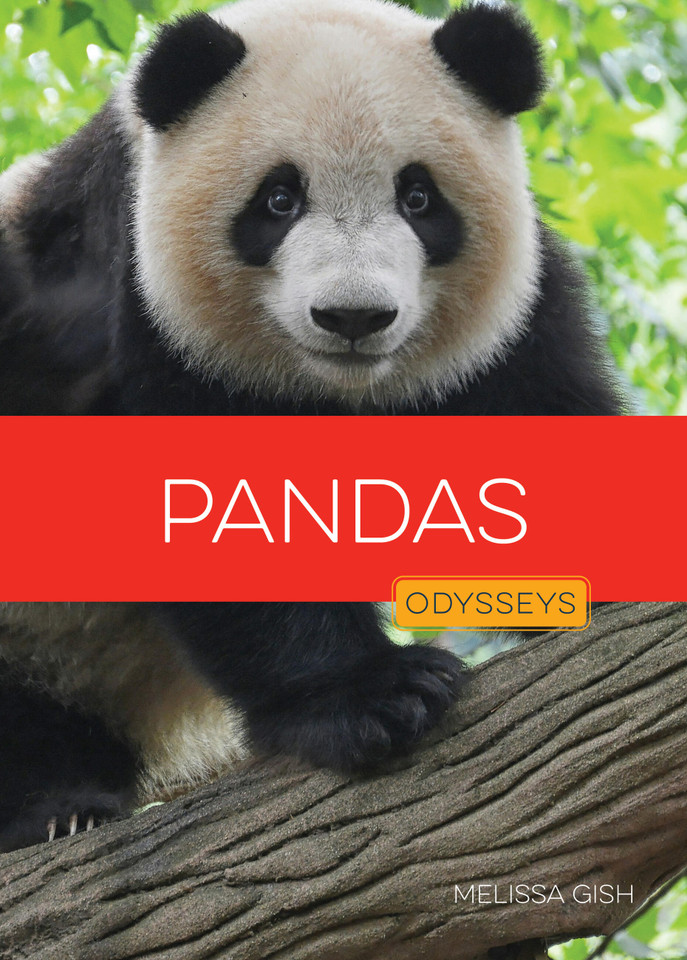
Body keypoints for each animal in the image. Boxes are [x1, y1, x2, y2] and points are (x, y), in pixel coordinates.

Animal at [0, 0, 624, 851]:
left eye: (418, 198)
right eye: (278, 200)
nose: (353, 317)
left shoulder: (508, 324)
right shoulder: (139, 302)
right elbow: (225, 518)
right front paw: (372, 697)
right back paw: (56, 808)